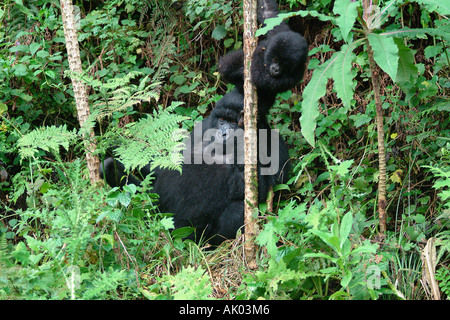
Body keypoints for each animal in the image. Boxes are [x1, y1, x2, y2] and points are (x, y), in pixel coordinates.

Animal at [100, 89, 290, 246]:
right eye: (222, 120)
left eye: (233, 122)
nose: (223, 133)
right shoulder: (204, 126)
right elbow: (166, 165)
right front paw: (115, 143)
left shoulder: (271, 140)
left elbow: (261, 187)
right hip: (156, 216)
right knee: (111, 169)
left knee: (241, 209)